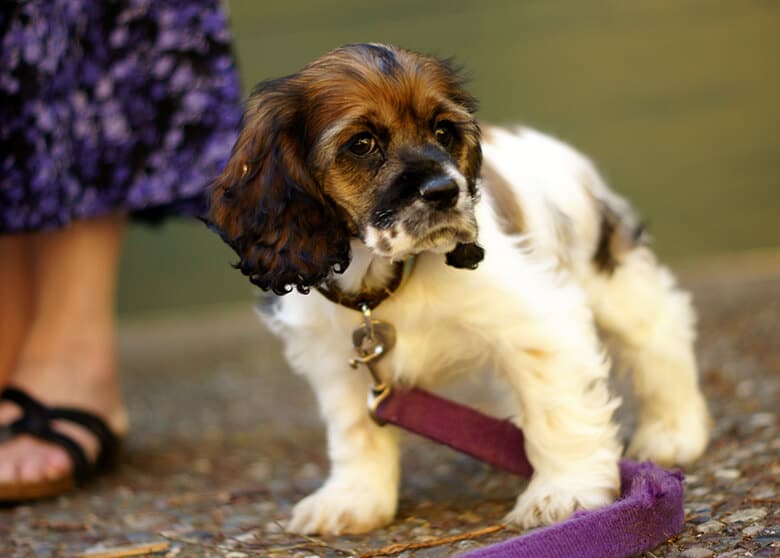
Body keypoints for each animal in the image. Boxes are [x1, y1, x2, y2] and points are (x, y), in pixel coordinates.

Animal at [210, 44, 708, 540]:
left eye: (443, 131)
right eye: (362, 143)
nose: (444, 190)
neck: (387, 277)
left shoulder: (540, 323)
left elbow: (559, 411)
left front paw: (564, 494)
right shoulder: (337, 360)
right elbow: (355, 432)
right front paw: (354, 499)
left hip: (609, 275)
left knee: (660, 332)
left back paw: (674, 430)